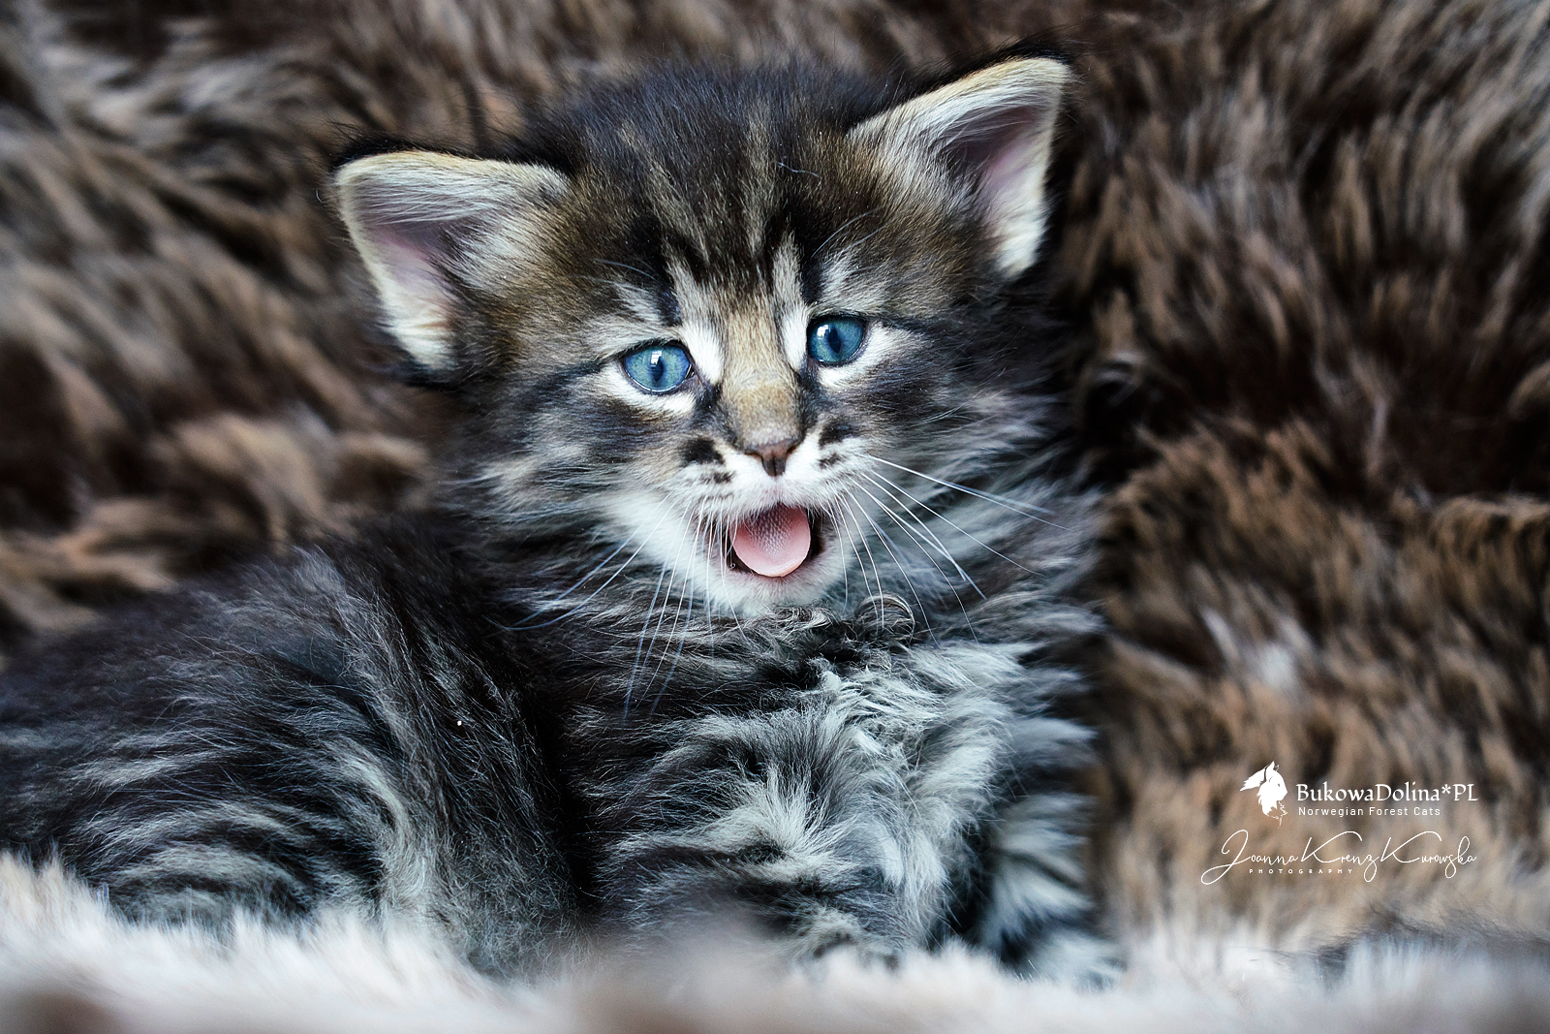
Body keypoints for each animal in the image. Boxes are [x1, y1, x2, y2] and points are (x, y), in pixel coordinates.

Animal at [0, 48, 1109, 981]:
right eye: (657, 367)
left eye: (835, 339)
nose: (770, 446)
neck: (841, 636)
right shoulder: (716, 841)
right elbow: (841, 975)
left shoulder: (1014, 803)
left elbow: (1062, 951)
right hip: (288, 753)